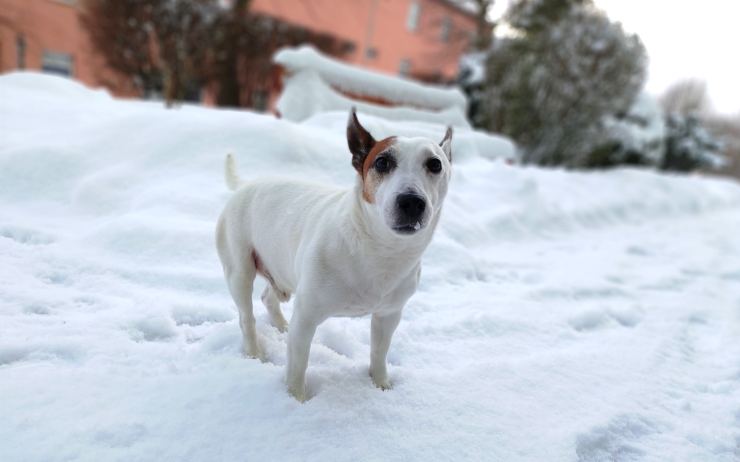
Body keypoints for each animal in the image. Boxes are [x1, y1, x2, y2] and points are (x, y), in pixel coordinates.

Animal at [215, 109, 450, 400]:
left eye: (435, 164)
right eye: (382, 162)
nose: (411, 202)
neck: (379, 248)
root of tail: (247, 185)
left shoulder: (389, 315)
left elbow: (379, 352)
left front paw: (381, 384)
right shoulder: (306, 316)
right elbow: (298, 364)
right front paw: (296, 399)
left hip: (283, 270)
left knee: (269, 297)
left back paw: (282, 326)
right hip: (240, 269)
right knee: (246, 315)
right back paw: (254, 352)